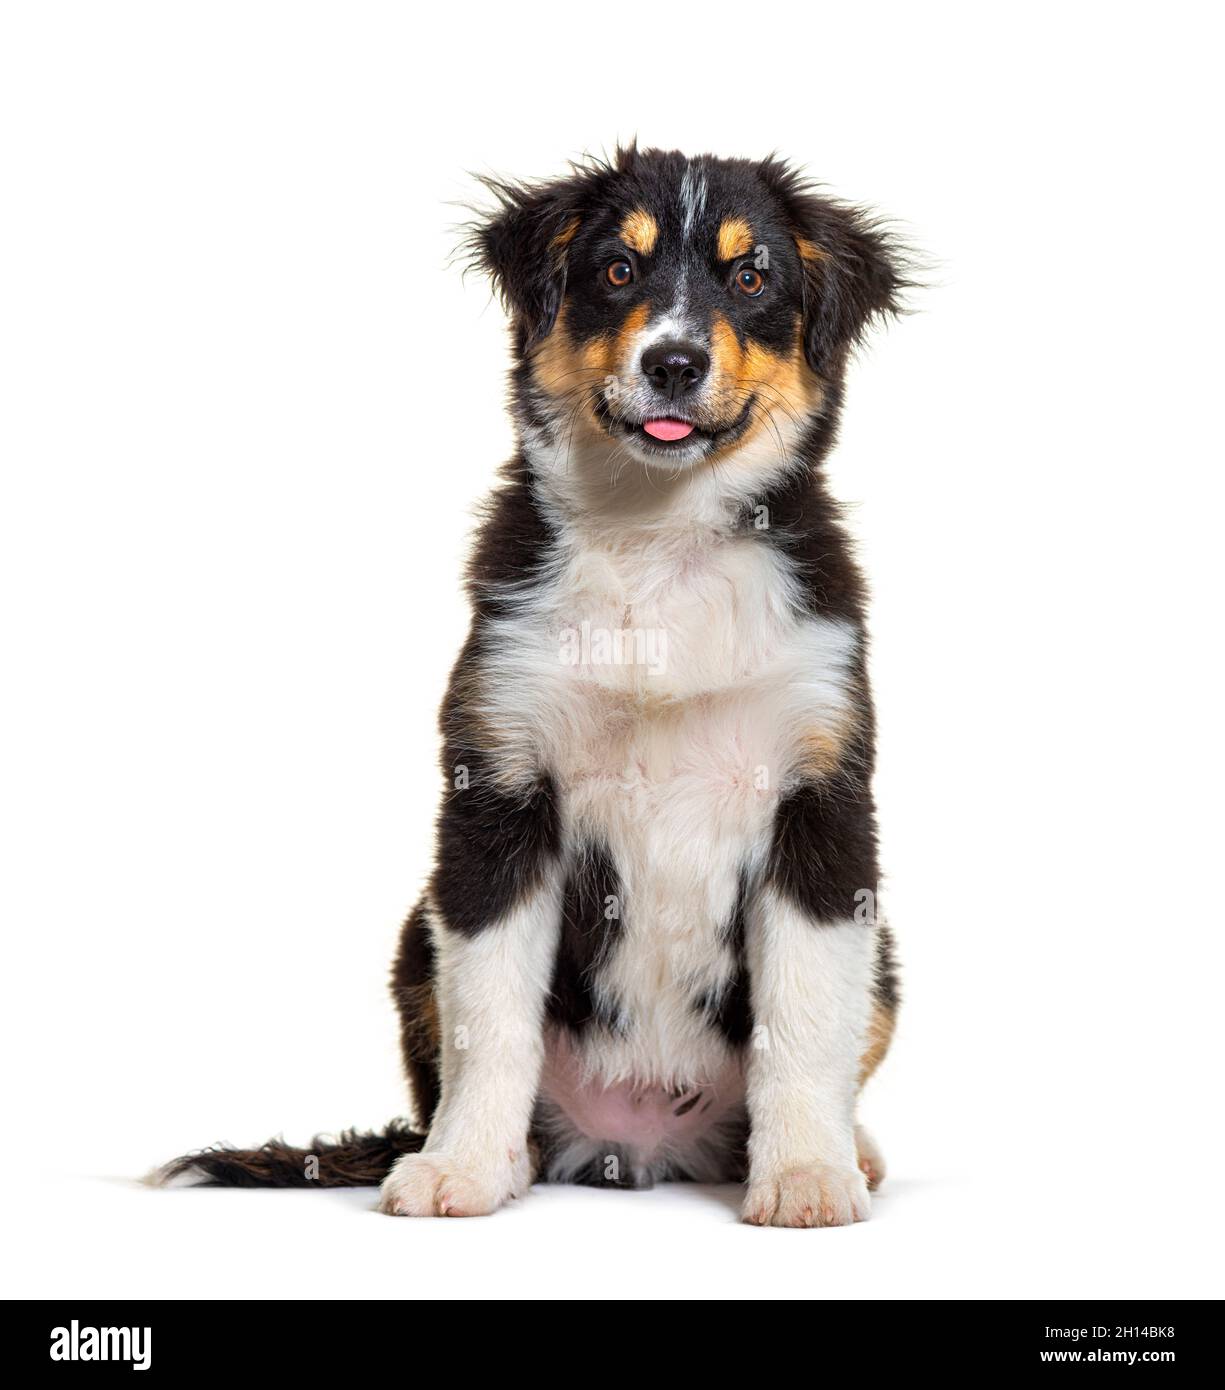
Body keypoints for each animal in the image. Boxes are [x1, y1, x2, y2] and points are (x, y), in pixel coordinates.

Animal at [159, 143, 906, 1228]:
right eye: (617, 270)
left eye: (751, 277)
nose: (672, 363)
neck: (655, 543)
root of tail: (642, 1144)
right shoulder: (499, 792)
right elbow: (489, 1016)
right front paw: (459, 1168)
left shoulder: (821, 802)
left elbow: (804, 1018)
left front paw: (807, 1176)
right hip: (415, 931)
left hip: (883, 944)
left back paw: (851, 1152)